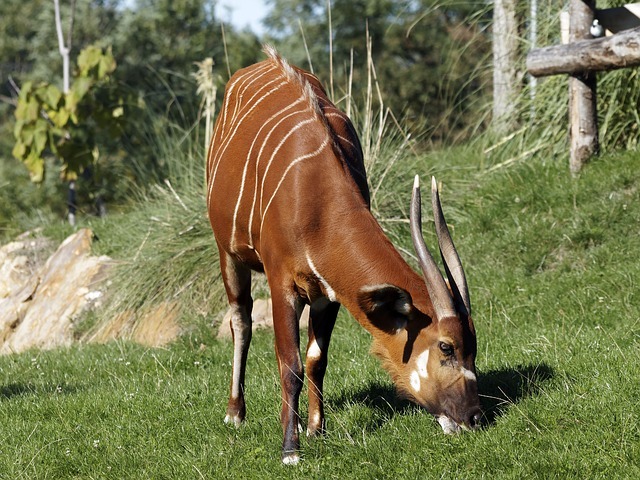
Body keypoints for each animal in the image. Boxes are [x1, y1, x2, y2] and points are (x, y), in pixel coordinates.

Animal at [206, 47, 480, 464]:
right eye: (446, 346)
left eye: (474, 343)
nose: (474, 416)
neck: (318, 199)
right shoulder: (282, 284)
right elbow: (290, 364)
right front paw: (290, 449)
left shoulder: (328, 295)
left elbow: (316, 359)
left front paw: (316, 430)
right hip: (229, 254)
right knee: (242, 319)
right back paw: (235, 413)